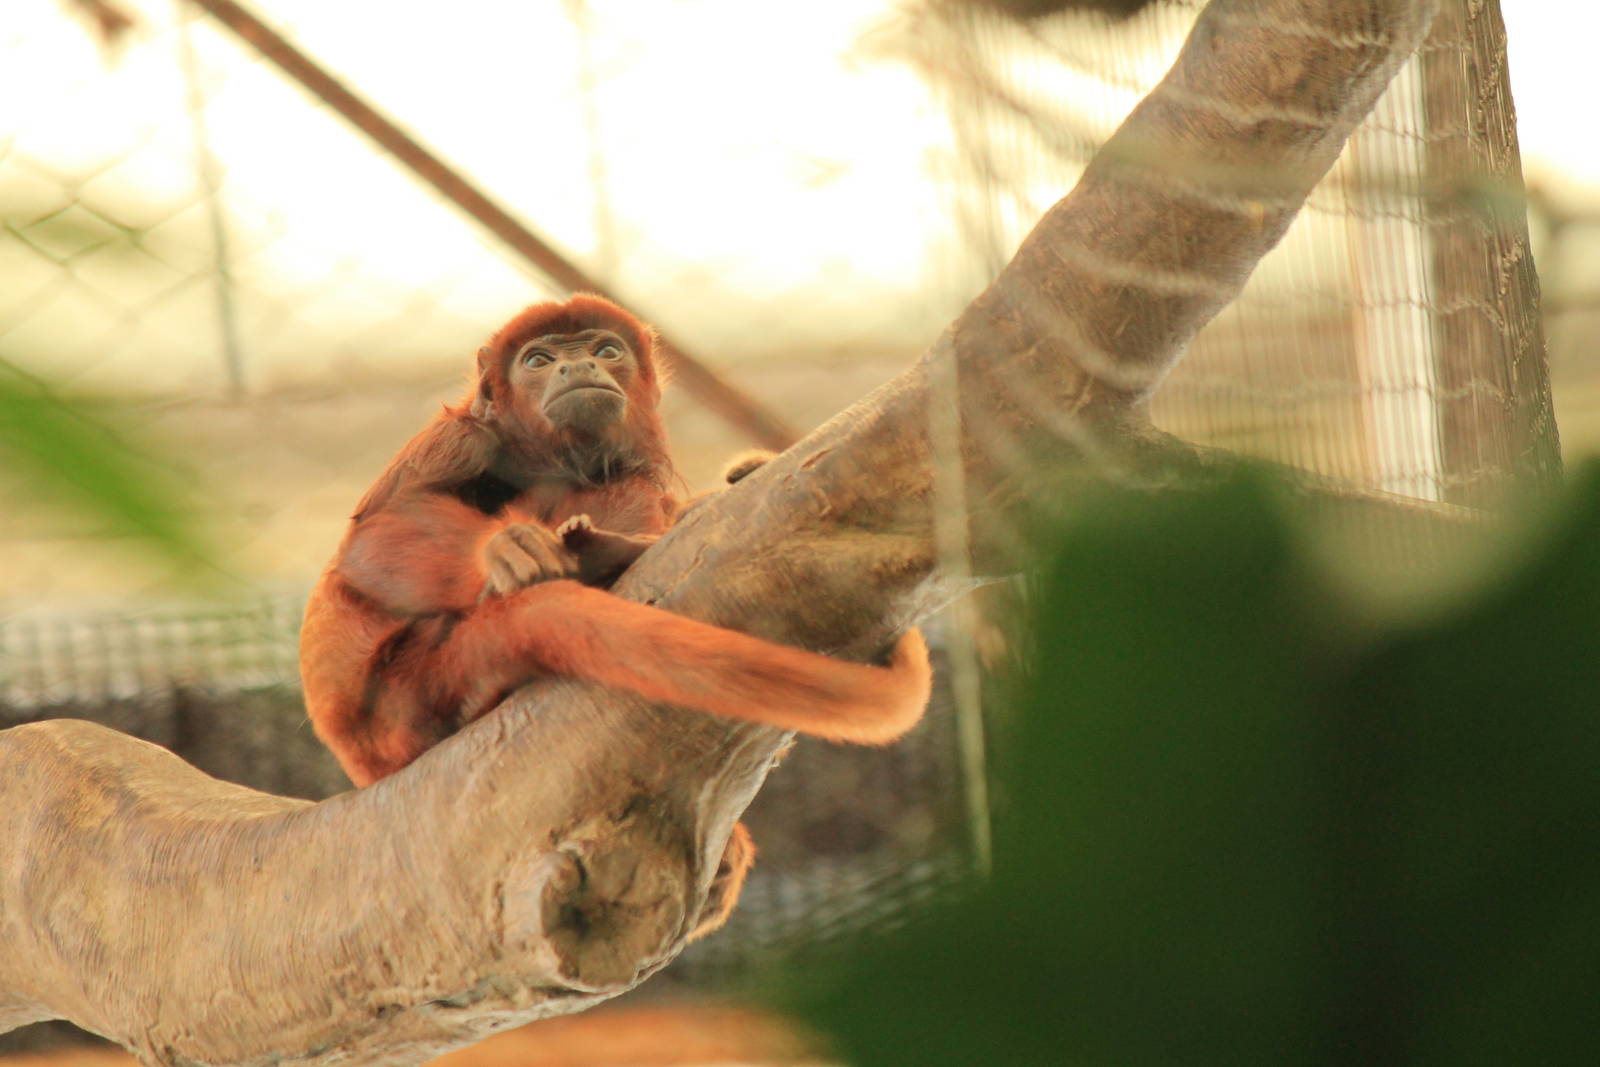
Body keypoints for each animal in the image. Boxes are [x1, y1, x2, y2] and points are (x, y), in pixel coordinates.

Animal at [299, 294, 931, 937]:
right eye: (538, 359)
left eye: (606, 350)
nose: (576, 367)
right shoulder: (460, 436)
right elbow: (376, 537)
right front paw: (502, 550)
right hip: (410, 687)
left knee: (626, 480)